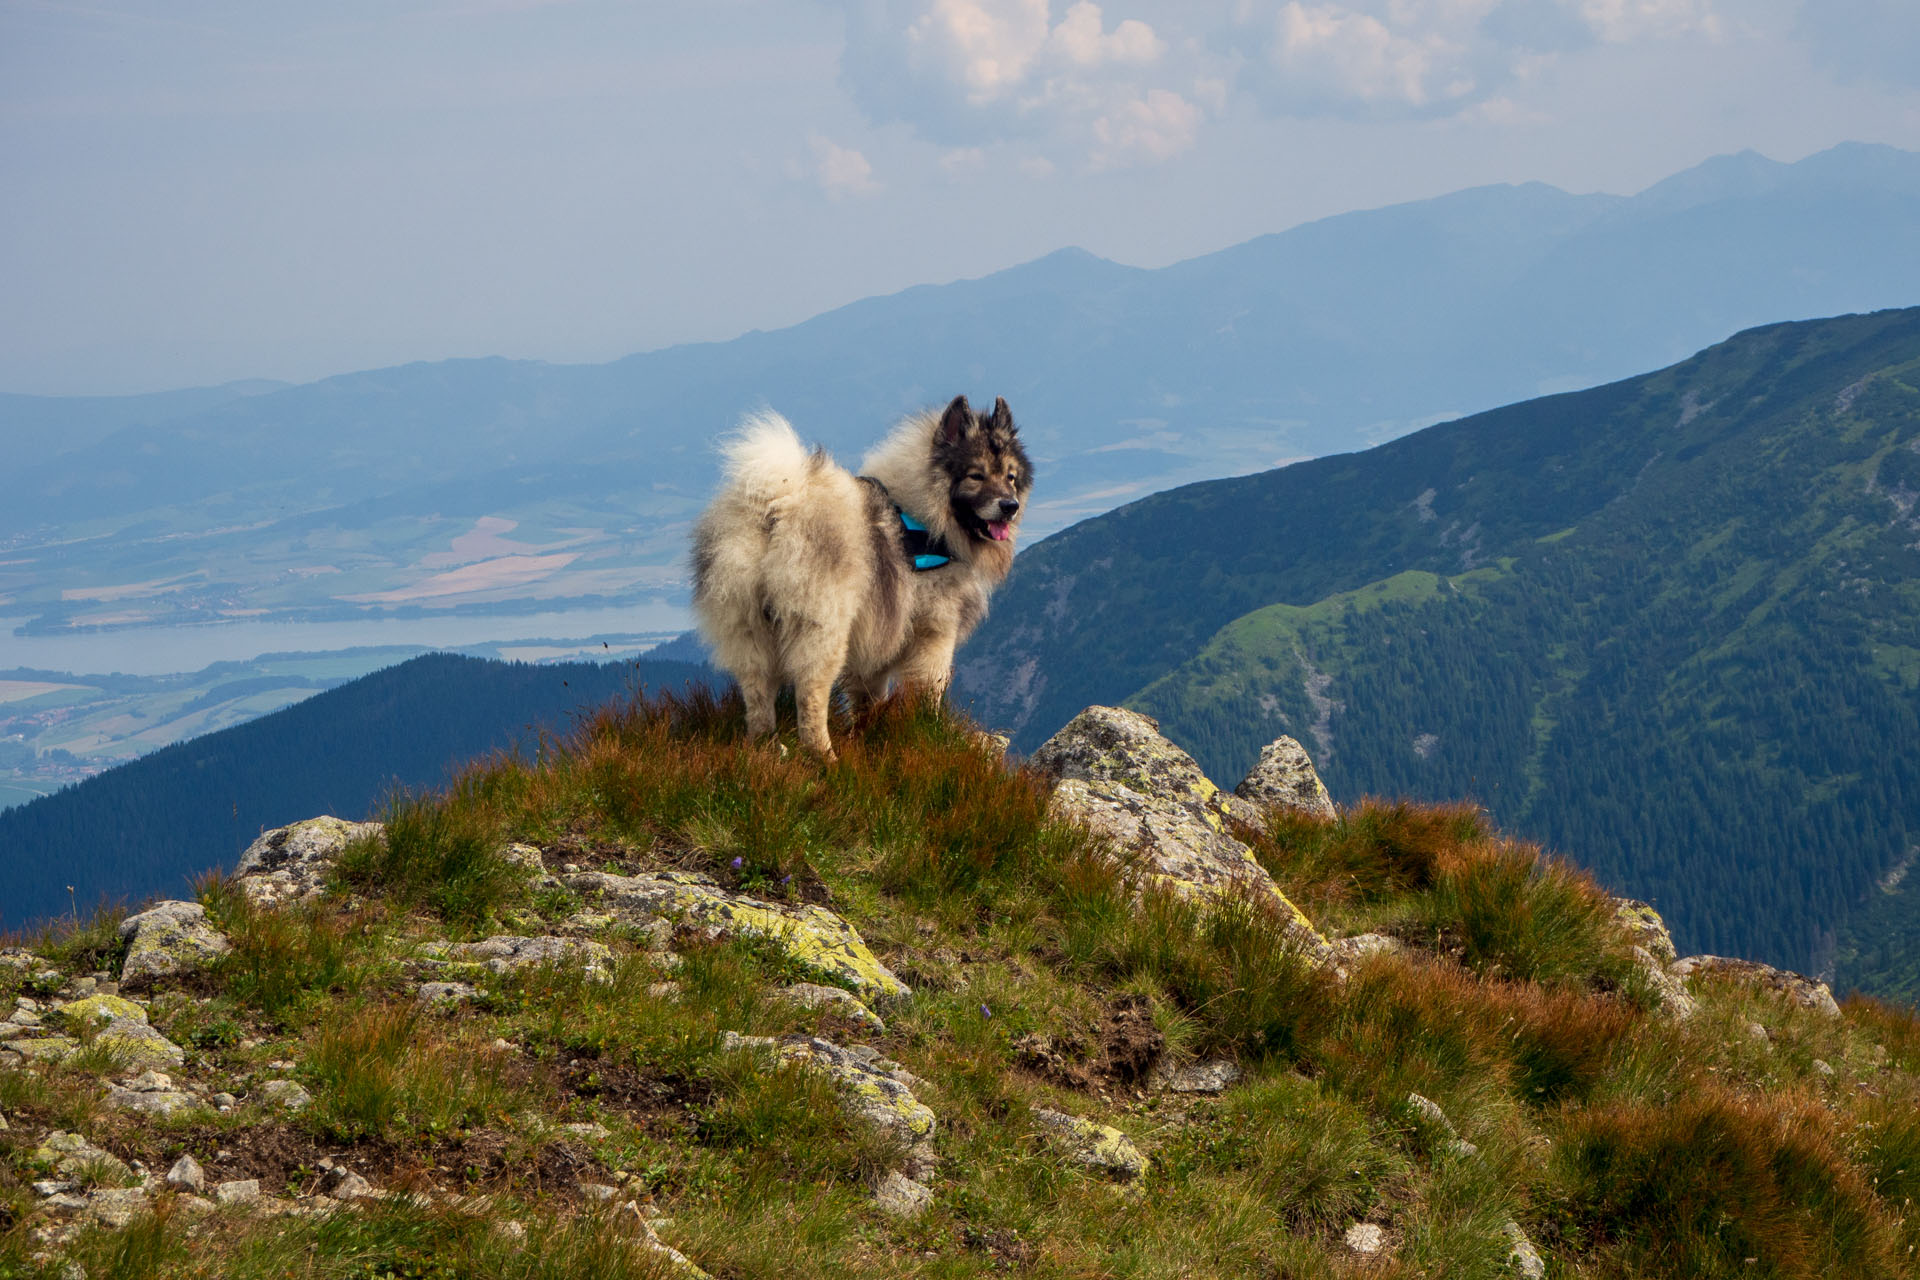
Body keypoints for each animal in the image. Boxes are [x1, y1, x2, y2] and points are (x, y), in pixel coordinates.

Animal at [695, 395, 1036, 759]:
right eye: (976, 475)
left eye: (1011, 477)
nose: (1010, 506)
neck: (926, 515)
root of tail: (778, 507)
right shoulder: (934, 634)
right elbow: (929, 693)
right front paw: (929, 734)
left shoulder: (876, 642)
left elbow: (868, 699)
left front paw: (867, 733)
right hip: (824, 632)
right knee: (810, 695)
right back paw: (826, 757)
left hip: (750, 631)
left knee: (757, 696)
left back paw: (766, 748)